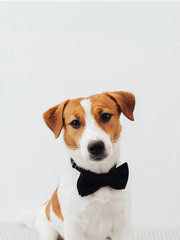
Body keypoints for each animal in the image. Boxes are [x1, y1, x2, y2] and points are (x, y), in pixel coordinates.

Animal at [19, 90, 135, 240]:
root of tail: (45, 206)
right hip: (48, 231)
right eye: (75, 123)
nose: (96, 146)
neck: (98, 177)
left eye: (105, 116)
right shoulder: (74, 226)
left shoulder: (122, 223)